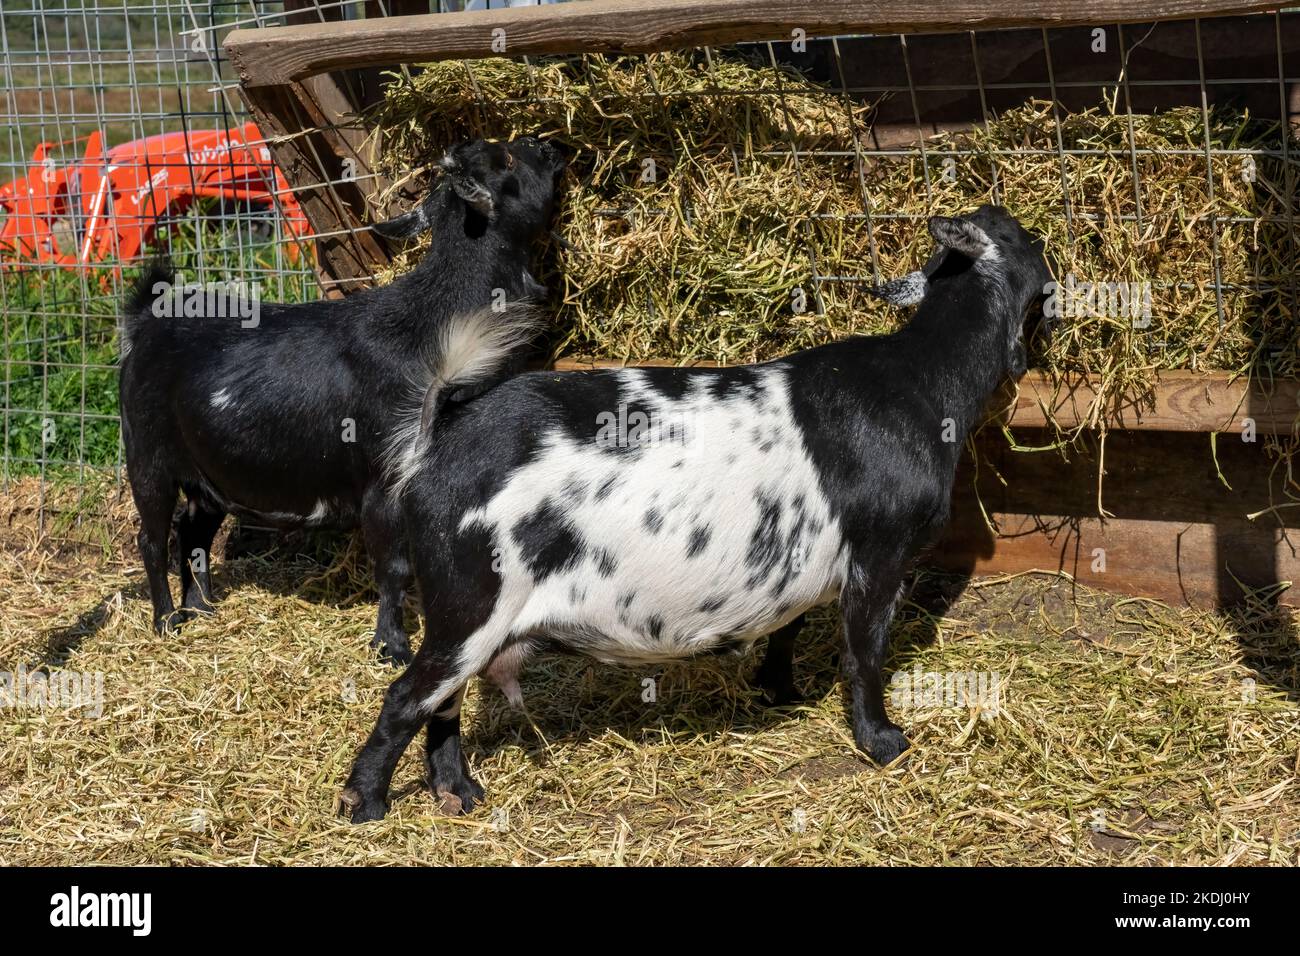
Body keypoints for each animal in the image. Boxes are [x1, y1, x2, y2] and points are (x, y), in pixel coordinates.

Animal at [118, 136, 566, 665]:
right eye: (509, 158)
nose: (550, 146)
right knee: (152, 538)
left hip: (209, 476)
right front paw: (391, 647)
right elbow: (393, 568)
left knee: (194, 531)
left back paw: (202, 609)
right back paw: (166, 620)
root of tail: (146, 321)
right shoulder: (382, 480)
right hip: (147, 458)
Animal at [340, 205, 1051, 820]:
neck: (923, 378)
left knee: (442, 703)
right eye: (1029, 241)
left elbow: (789, 625)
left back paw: (459, 793)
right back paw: (366, 806)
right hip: (471, 603)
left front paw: (780, 691)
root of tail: (440, 445)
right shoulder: (880, 556)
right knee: (408, 695)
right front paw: (885, 744)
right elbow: (864, 652)